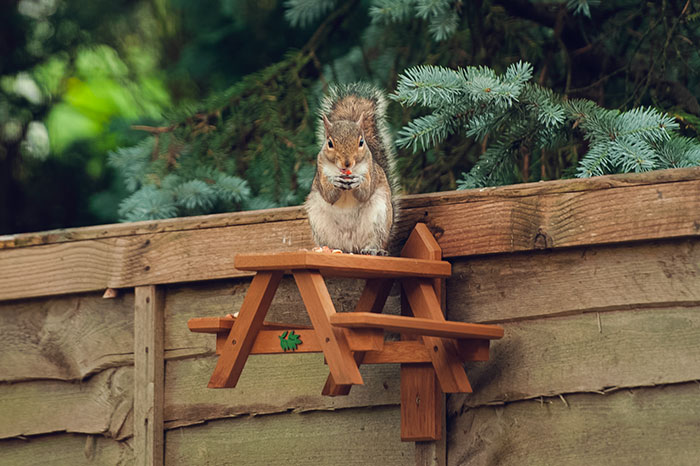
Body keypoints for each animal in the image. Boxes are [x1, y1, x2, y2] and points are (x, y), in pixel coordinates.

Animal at [305, 83, 398, 256]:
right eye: (330, 143)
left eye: (361, 142)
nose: (347, 163)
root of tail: (351, 248)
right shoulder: (321, 172)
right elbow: (329, 195)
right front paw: (335, 182)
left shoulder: (370, 171)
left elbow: (365, 193)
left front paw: (358, 181)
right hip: (318, 221)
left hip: (380, 218)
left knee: (375, 241)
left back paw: (373, 250)